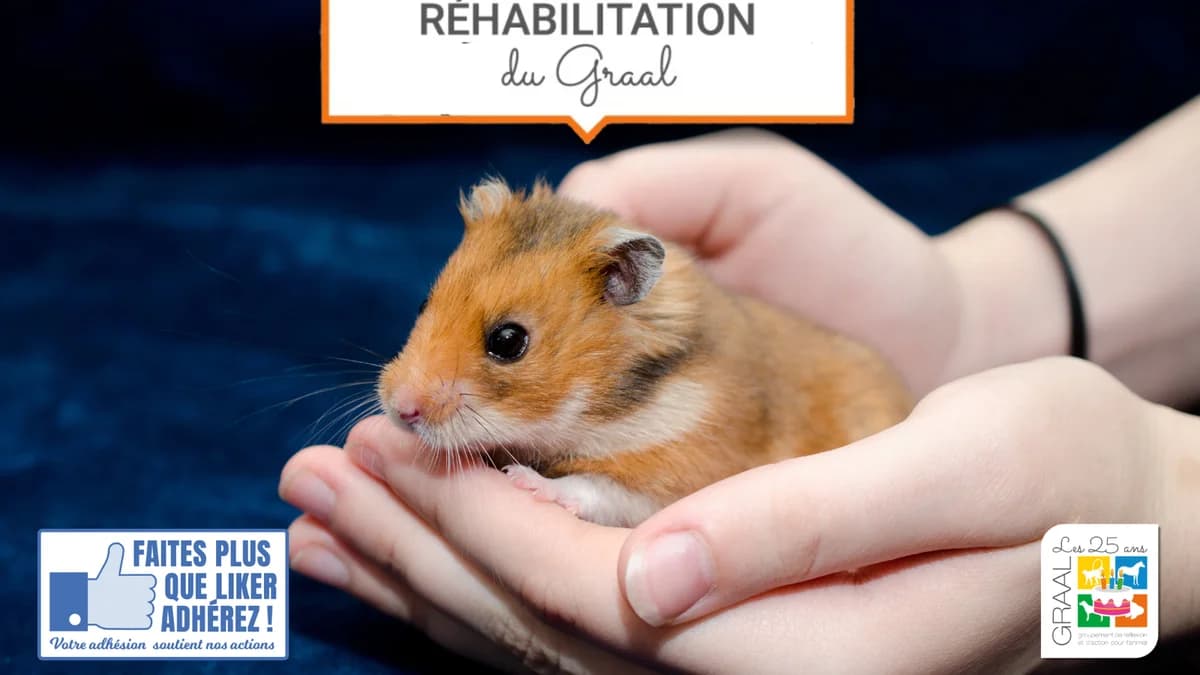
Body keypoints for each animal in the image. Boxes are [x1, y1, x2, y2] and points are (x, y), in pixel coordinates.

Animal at [377, 178, 913, 527]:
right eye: (424, 303)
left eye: (508, 341)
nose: (400, 410)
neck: (609, 404)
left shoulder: (680, 472)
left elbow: (596, 488)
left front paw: (524, 481)